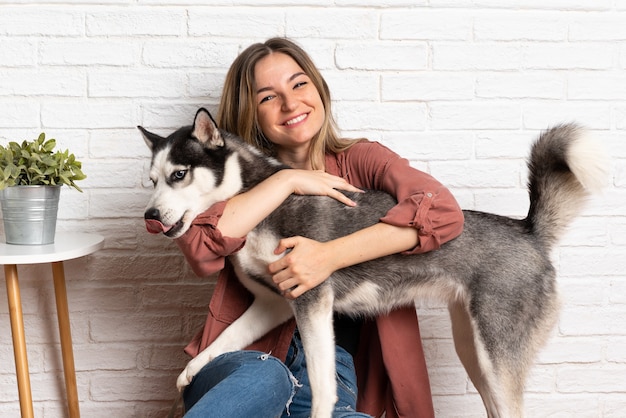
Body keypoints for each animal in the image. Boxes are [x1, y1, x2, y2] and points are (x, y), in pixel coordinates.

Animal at [139, 108, 608, 418]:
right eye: (152, 180)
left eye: (179, 174)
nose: (150, 216)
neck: (256, 202)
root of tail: (527, 229)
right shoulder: (273, 304)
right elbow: (225, 338)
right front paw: (193, 368)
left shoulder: (311, 300)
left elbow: (323, 384)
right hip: (473, 352)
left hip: (495, 357)